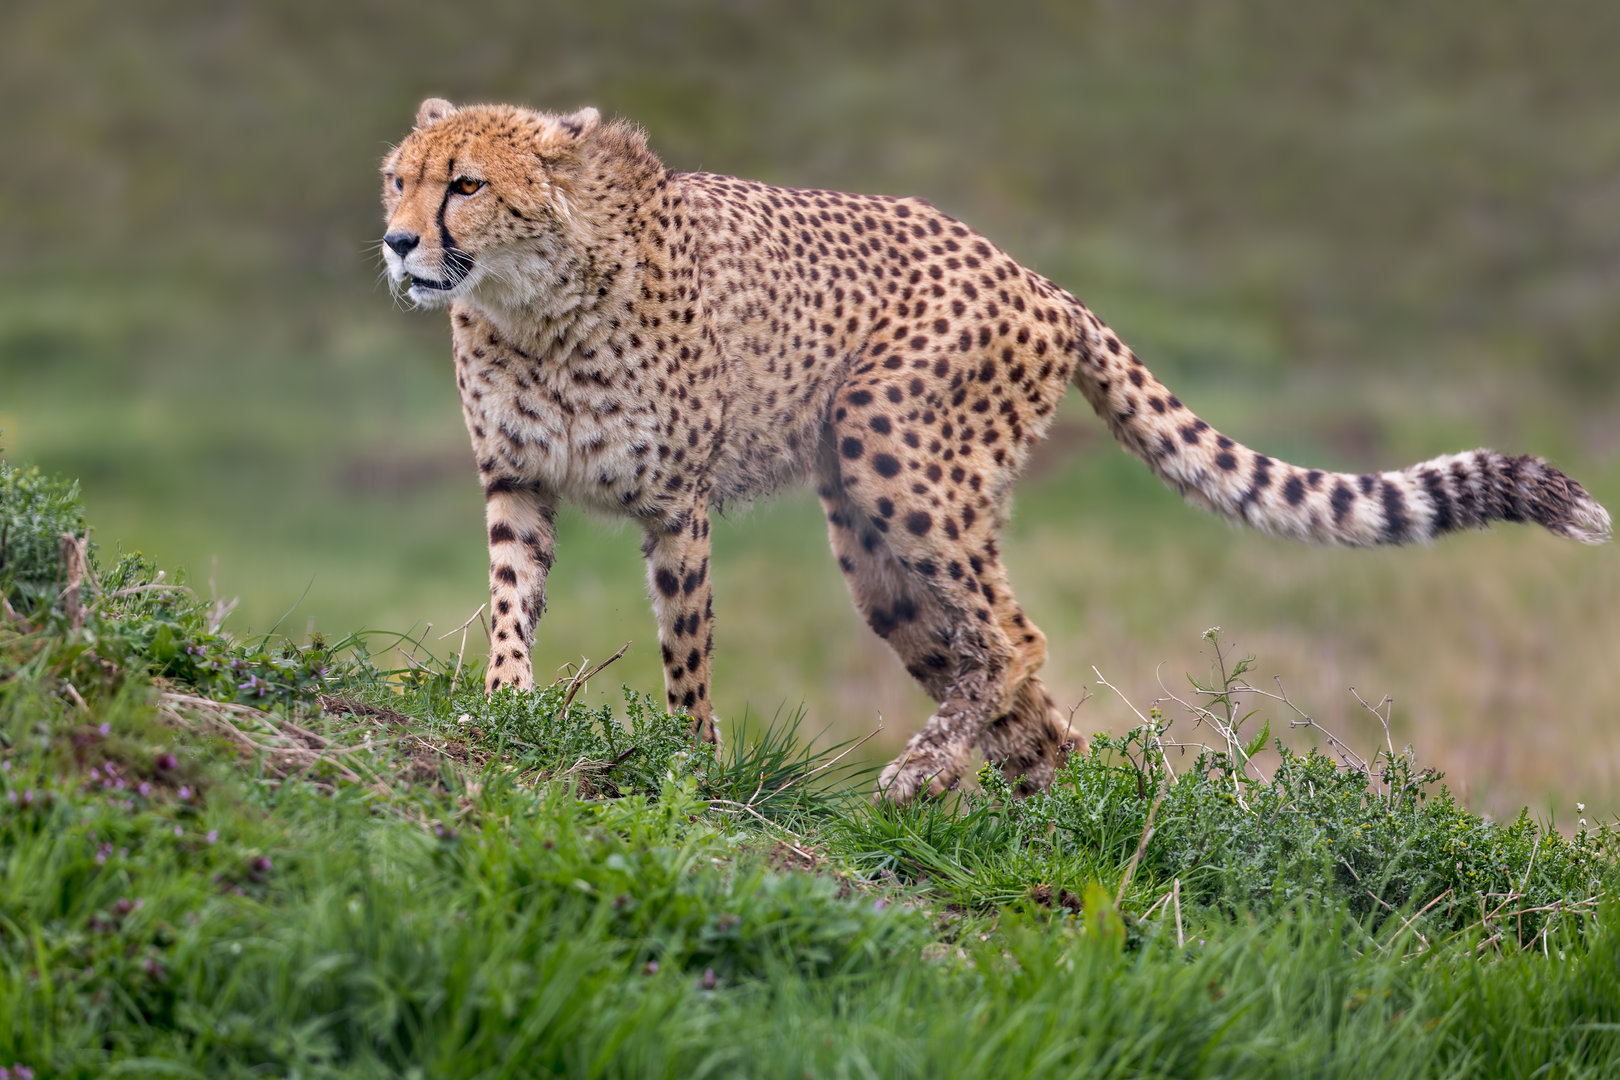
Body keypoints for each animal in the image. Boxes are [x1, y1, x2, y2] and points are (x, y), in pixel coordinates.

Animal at [380, 98, 1611, 805]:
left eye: (465, 184)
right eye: (400, 177)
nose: (395, 243)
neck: (534, 302)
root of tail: (1036, 276)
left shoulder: (676, 505)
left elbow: (686, 647)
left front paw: (689, 759)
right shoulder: (517, 481)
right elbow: (511, 598)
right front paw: (500, 707)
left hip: (888, 444)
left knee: (1016, 638)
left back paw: (928, 776)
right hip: (879, 547)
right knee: (1015, 691)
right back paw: (1037, 833)